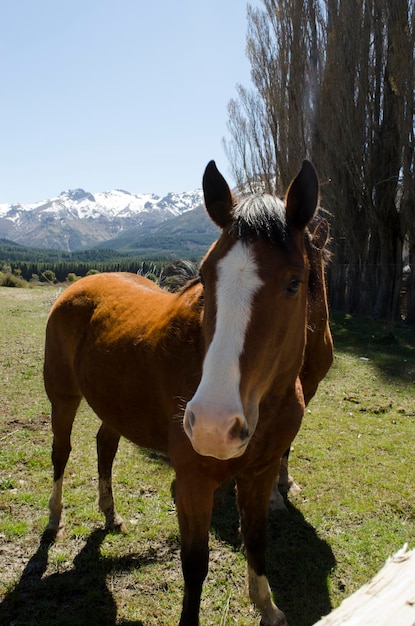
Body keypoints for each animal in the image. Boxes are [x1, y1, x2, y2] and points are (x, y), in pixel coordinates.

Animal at [45, 161, 320, 624]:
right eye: (205, 277)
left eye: (294, 283)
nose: (212, 426)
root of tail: (78, 287)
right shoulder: (192, 483)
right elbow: (195, 564)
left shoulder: (261, 473)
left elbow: (257, 541)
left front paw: (267, 606)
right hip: (62, 398)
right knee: (61, 453)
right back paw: (53, 519)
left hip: (115, 405)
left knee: (104, 446)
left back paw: (110, 514)